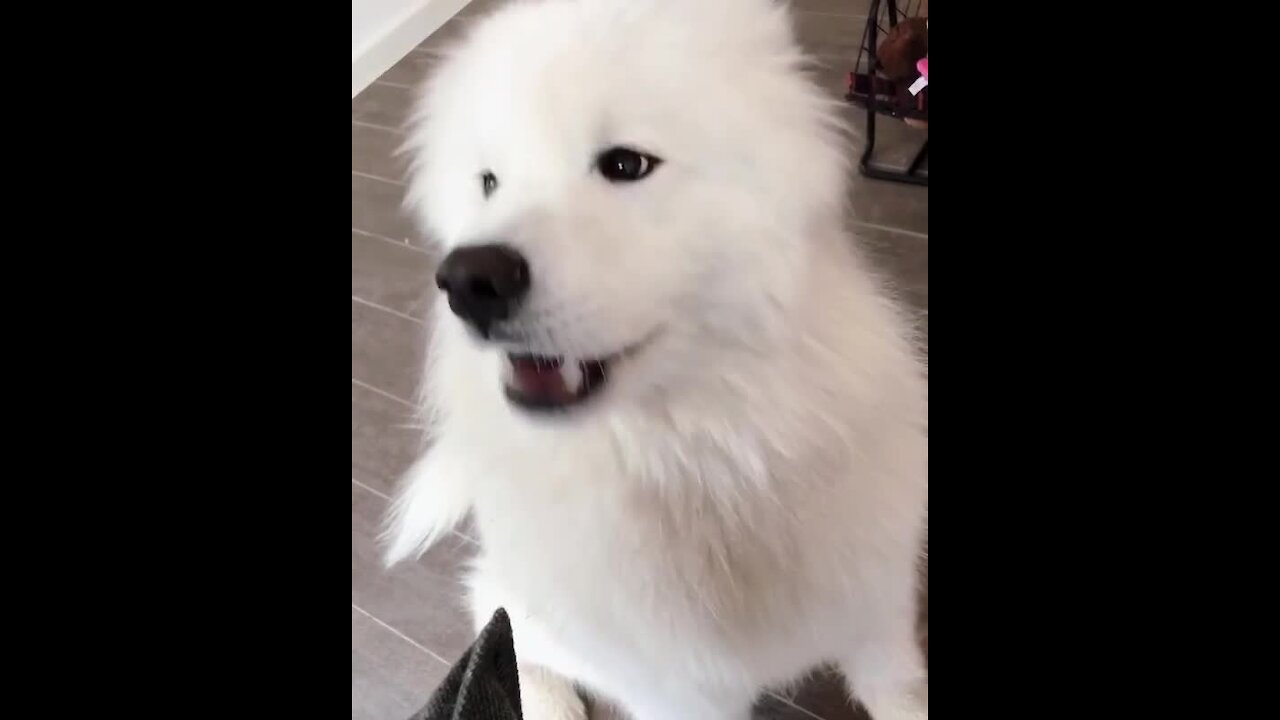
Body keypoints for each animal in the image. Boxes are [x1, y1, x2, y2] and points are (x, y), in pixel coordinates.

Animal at [381, 1, 931, 717]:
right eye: (489, 183)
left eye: (625, 165)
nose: (470, 280)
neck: (702, 462)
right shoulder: (677, 690)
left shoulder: (876, 620)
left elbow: (901, 691)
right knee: (497, 612)